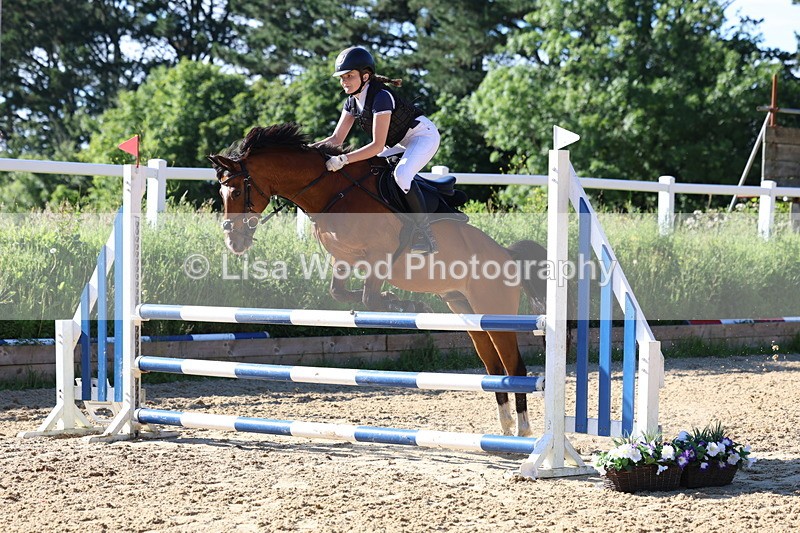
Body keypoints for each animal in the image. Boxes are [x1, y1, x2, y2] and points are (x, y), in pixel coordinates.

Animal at [208, 123, 548, 437]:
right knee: (494, 367)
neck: (332, 192)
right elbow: (341, 293)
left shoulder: (380, 256)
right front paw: (403, 303)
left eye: (235, 191)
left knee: (514, 366)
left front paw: (409, 305)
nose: (234, 242)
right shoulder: (344, 259)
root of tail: (506, 255)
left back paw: (523, 430)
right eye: (220, 193)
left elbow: (368, 297)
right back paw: (505, 428)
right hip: (466, 311)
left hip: (495, 309)